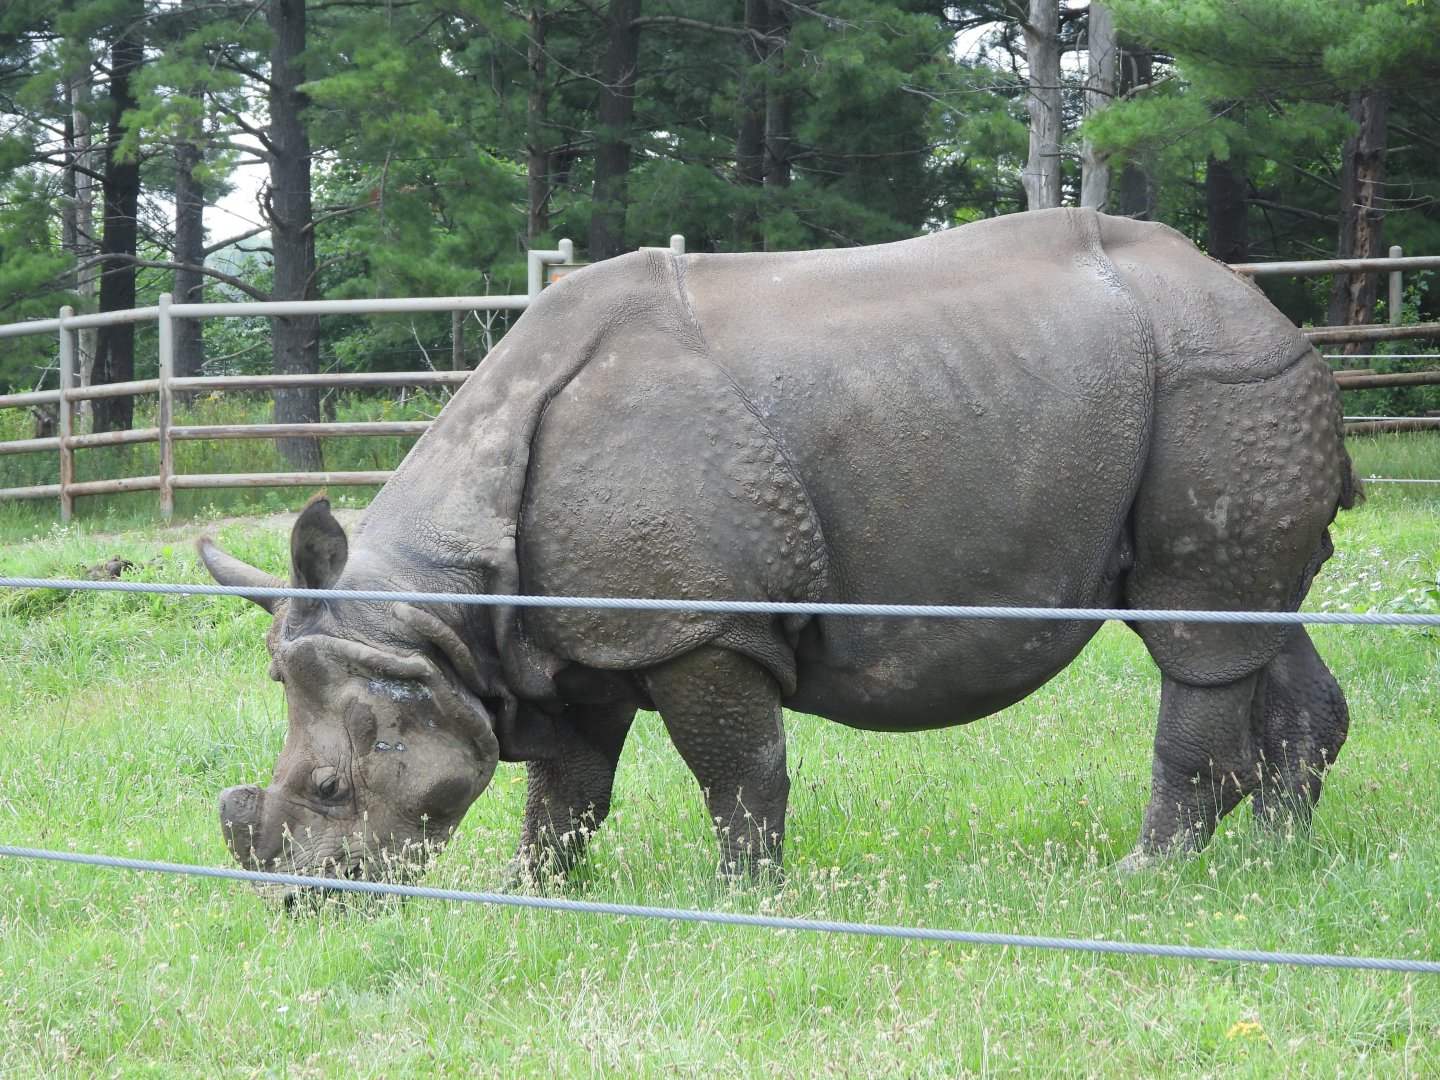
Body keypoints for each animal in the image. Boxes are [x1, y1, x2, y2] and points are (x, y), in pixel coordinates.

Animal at [201, 208, 1357, 884]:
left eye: (333, 791)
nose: (306, 905)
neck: (439, 607)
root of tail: (1258, 300)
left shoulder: (696, 624)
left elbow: (739, 771)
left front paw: (745, 902)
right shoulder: (567, 640)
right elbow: (567, 792)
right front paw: (536, 896)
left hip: (1217, 381)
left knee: (1194, 632)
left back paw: (1143, 882)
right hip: (1210, 382)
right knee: (1248, 625)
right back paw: (1278, 868)